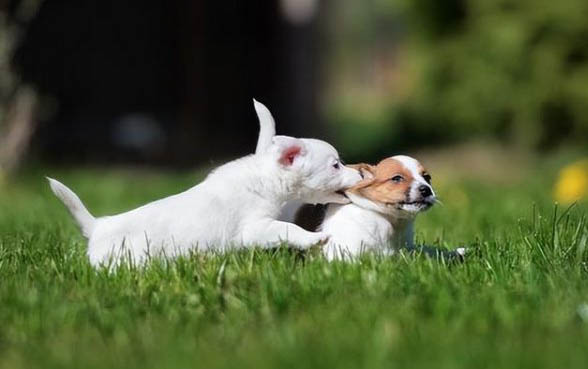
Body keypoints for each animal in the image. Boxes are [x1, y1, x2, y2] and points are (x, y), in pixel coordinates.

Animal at [49, 99, 362, 264]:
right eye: (335, 165)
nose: (361, 174)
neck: (263, 178)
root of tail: (97, 227)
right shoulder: (255, 228)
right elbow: (288, 229)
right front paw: (314, 238)